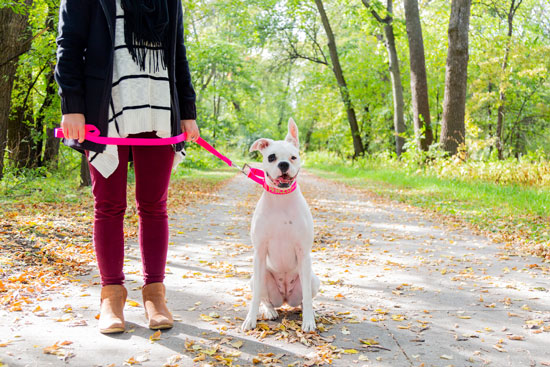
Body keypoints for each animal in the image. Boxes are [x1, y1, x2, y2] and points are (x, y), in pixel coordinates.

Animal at [242, 118, 320, 334]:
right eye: (271, 157)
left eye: (293, 157)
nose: (283, 164)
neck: (281, 199)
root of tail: (285, 299)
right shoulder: (259, 253)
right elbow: (255, 298)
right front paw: (250, 319)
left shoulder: (303, 253)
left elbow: (307, 298)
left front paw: (309, 321)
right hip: (257, 279)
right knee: (265, 299)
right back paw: (269, 311)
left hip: (312, 278)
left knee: (305, 298)